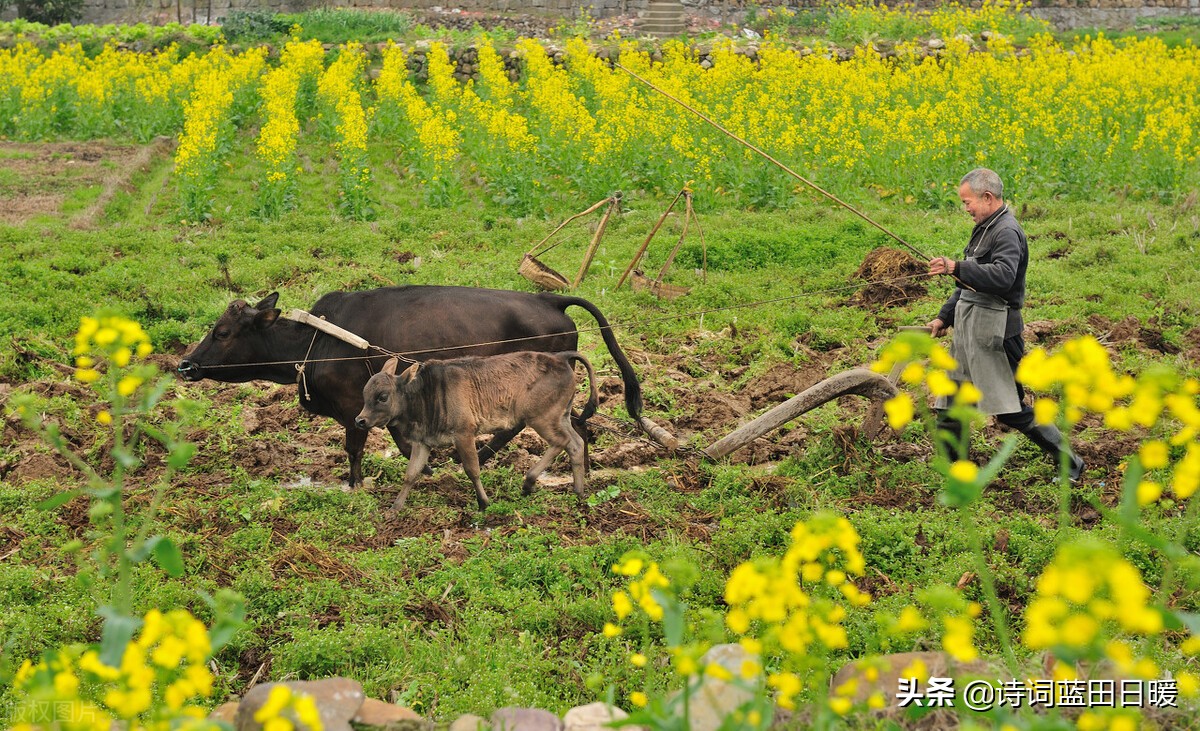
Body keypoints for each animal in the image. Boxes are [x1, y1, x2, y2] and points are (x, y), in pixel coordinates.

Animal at [355, 350, 600, 511]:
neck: (426, 394)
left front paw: (483, 503)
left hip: (541, 418)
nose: (360, 420)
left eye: (383, 396)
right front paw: (394, 509)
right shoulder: (422, 442)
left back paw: (529, 482)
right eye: (365, 392)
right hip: (561, 416)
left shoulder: (464, 434)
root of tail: (560, 357)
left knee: (561, 442)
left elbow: (472, 470)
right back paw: (578, 492)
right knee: (575, 444)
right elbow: (411, 474)